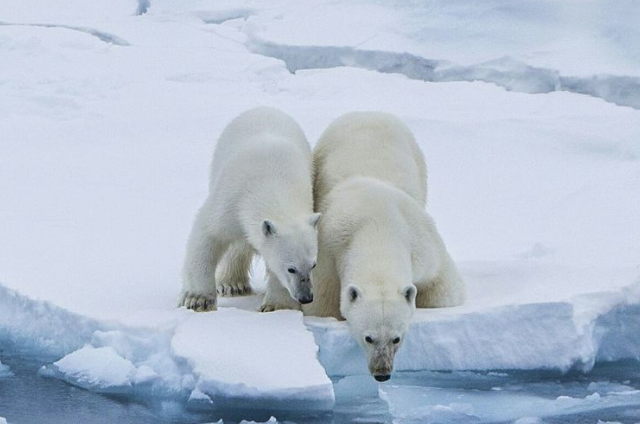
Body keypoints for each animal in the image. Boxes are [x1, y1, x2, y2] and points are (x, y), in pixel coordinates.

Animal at [179, 106, 320, 312]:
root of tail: (264, 107)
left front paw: (276, 306)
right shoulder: (231, 198)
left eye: (313, 265)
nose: (307, 297)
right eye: (291, 268)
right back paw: (231, 285)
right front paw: (198, 299)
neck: (272, 182)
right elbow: (208, 235)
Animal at [304, 112, 464, 380]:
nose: (382, 373)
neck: (377, 229)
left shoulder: (421, 244)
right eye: (368, 337)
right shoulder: (328, 250)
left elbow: (443, 291)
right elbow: (322, 304)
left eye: (396, 338)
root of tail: (368, 112)